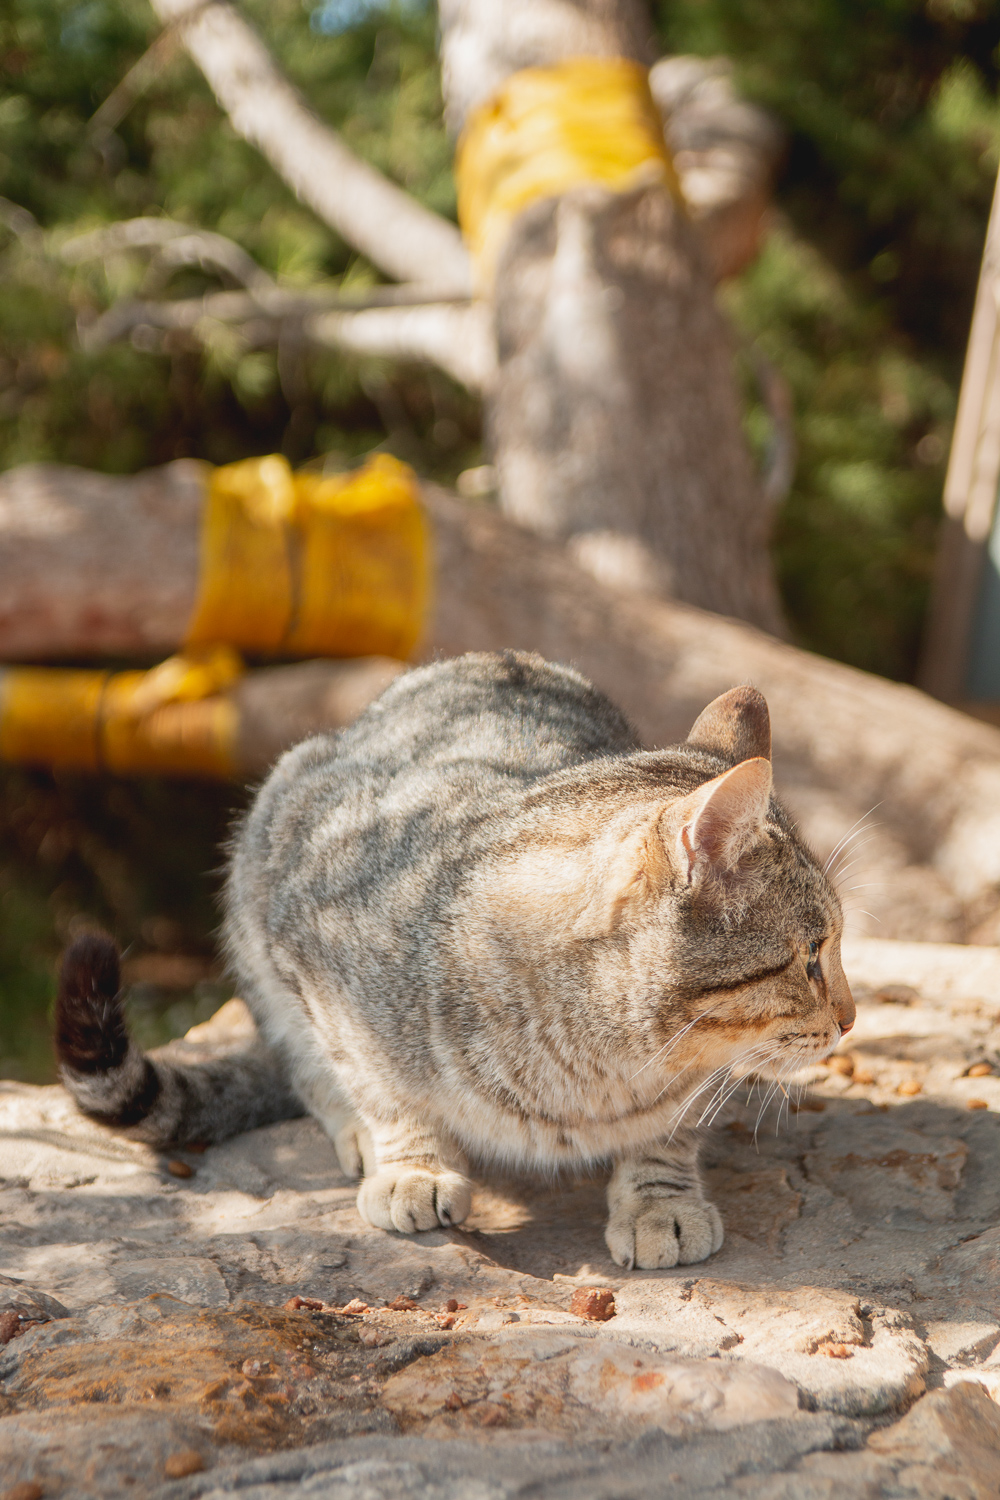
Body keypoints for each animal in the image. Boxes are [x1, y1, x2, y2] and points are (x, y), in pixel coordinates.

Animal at [54, 651, 851, 1272]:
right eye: (811, 956)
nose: (850, 1019)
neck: (604, 1066)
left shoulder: (691, 1078)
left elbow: (669, 1132)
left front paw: (660, 1199)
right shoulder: (306, 951)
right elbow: (376, 1083)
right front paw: (410, 1163)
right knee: (301, 1062)